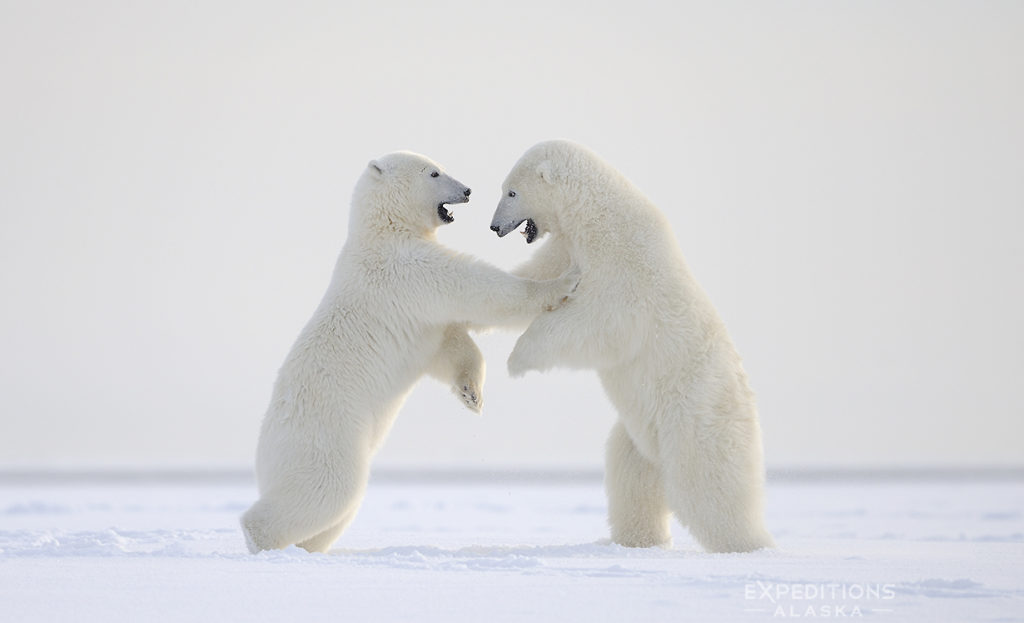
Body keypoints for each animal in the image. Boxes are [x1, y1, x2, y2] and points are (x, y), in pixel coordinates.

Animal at [239, 151, 577, 553]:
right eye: (434, 173)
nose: (467, 190)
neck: (383, 231)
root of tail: (264, 451)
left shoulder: (420, 319)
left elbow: (448, 345)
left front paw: (471, 394)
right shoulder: (407, 270)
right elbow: (478, 289)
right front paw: (564, 281)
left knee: (337, 509)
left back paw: (307, 548)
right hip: (324, 437)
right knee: (328, 490)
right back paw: (259, 537)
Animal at [491, 140, 770, 549]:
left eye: (511, 192)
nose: (494, 226)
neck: (595, 215)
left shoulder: (624, 266)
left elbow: (598, 324)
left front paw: (518, 359)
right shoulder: (568, 246)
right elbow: (539, 277)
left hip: (693, 414)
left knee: (706, 481)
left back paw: (749, 544)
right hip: (640, 432)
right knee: (632, 476)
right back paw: (636, 539)